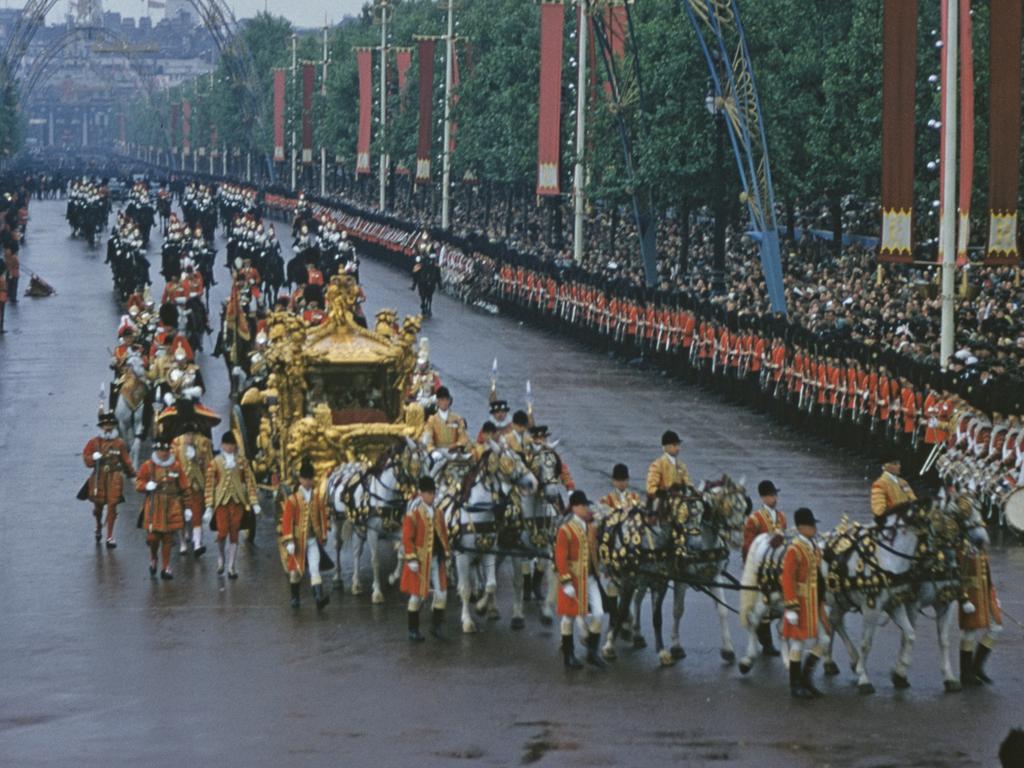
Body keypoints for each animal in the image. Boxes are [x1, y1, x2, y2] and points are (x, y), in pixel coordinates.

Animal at [438, 442, 540, 634]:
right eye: (509, 461)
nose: (533, 483)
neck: (477, 512)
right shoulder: (462, 554)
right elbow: (465, 588)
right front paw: (467, 621)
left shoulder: (490, 551)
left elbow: (491, 584)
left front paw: (482, 607)